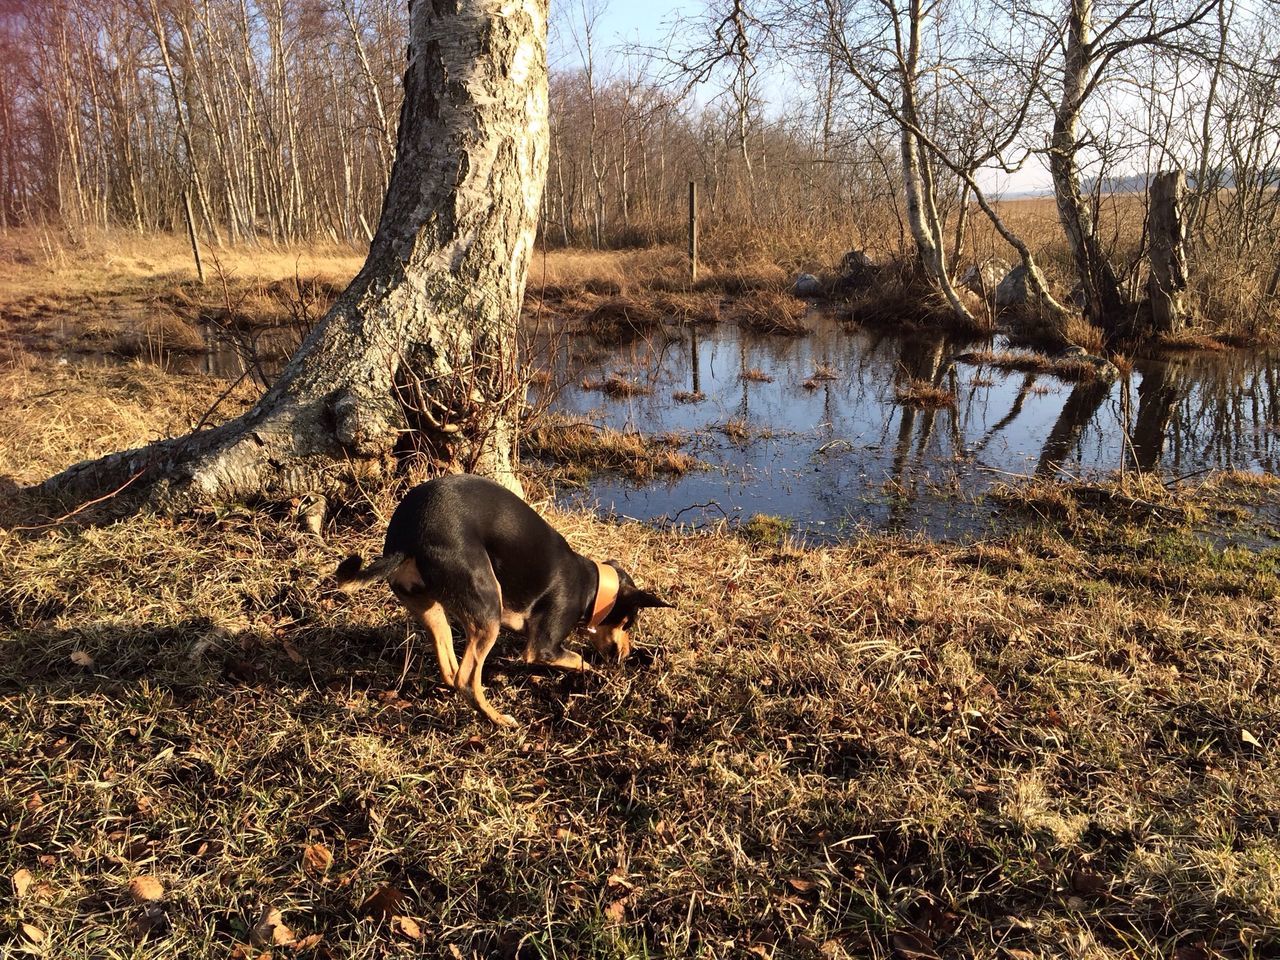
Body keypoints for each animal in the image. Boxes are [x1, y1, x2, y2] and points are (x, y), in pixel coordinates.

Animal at [330, 473, 675, 727]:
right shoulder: (543, 647)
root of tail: (406, 539)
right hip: (487, 609)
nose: (627, 655)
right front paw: (594, 674)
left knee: (451, 669)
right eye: (628, 623)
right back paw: (498, 720)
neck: (591, 587)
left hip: (431, 608)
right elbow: (578, 659)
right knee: (467, 679)